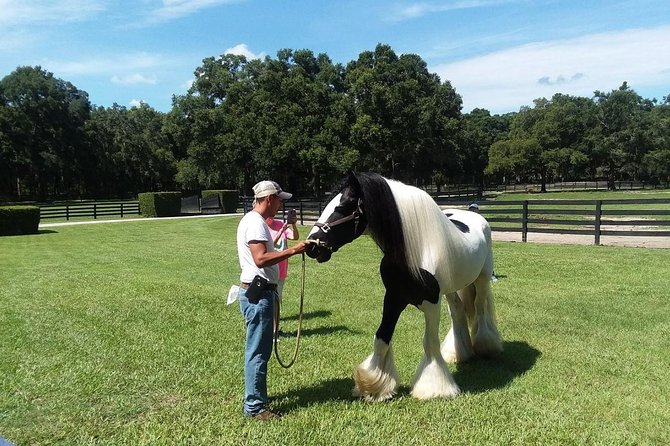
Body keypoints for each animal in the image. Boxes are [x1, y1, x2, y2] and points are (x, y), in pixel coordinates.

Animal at [306, 171, 504, 400]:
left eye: (343, 207)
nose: (312, 246)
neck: (415, 252)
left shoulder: (431, 303)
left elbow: (429, 342)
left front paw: (435, 388)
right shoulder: (393, 297)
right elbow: (382, 337)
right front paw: (374, 385)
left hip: (481, 280)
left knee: (480, 308)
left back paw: (486, 346)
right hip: (452, 288)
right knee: (458, 312)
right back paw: (457, 353)